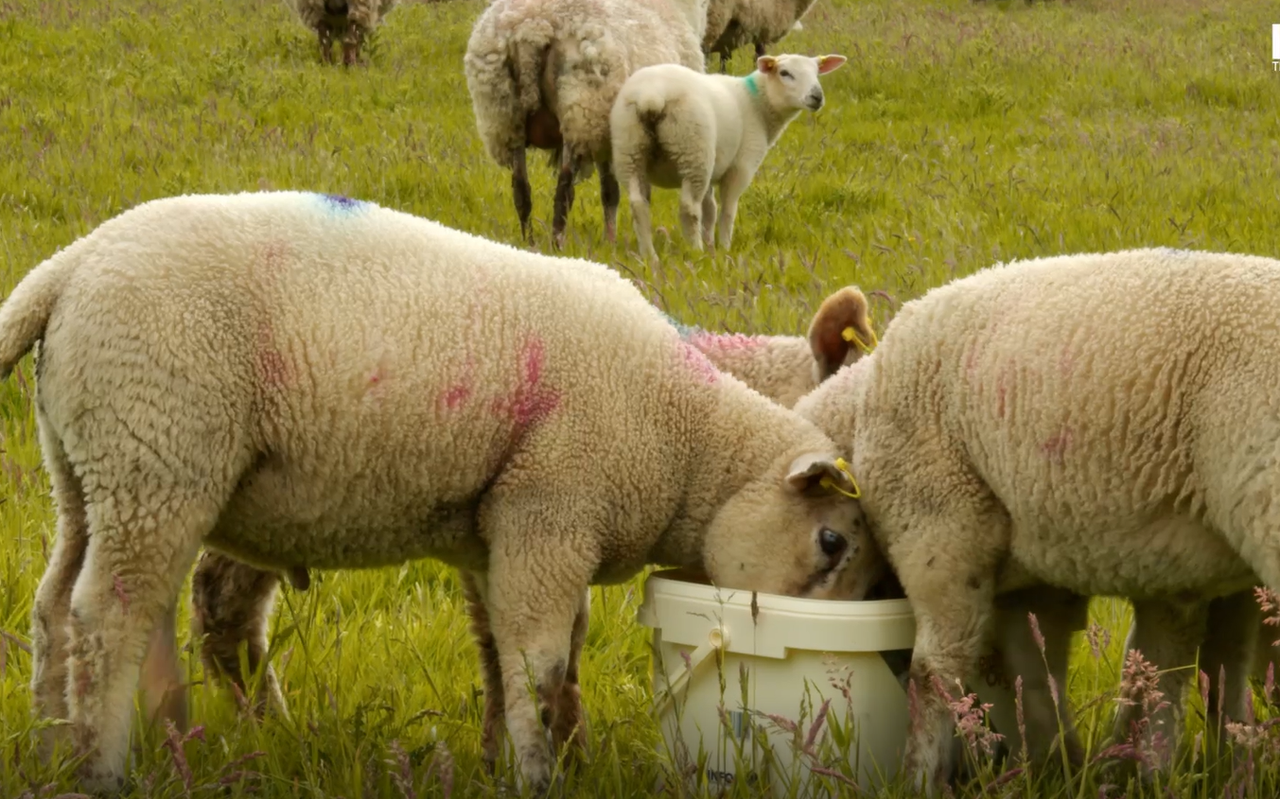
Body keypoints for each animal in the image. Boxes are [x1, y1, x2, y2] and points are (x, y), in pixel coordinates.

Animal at [0, 190, 882, 795]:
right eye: (832, 540)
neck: (685, 431)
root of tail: (67, 268)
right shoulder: (550, 512)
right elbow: (538, 660)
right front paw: (538, 771)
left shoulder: (503, 533)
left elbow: (511, 654)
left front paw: (516, 756)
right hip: (157, 452)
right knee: (109, 614)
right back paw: (103, 768)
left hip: (90, 465)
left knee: (56, 606)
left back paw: (52, 746)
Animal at [462, 0, 710, 249]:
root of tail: (532, 26)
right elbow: (622, 193)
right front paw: (614, 243)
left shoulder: (607, 139)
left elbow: (609, 192)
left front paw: (611, 243)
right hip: (581, 112)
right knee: (564, 190)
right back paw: (557, 245)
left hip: (504, 117)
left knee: (521, 189)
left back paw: (529, 244)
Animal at [609, 53, 846, 262]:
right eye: (785, 73)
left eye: (817, 72)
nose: (817, 96)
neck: (757, 104)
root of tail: (651, 95)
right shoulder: (741, 167)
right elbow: (727, 211)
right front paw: (723, 247)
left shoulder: (713, 169)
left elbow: (710, 210)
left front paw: (711, 243)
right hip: (693, 150)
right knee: (689, 208)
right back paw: (695, 251)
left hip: (630, 149)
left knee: (638, 205)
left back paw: (649, 255)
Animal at [789, 247, 1280, 795]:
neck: (858, 416)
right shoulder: (1053, 583)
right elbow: (1043, 674)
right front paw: (1078, 765)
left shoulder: (942, 530)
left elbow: (936, 671)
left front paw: (919, 779)